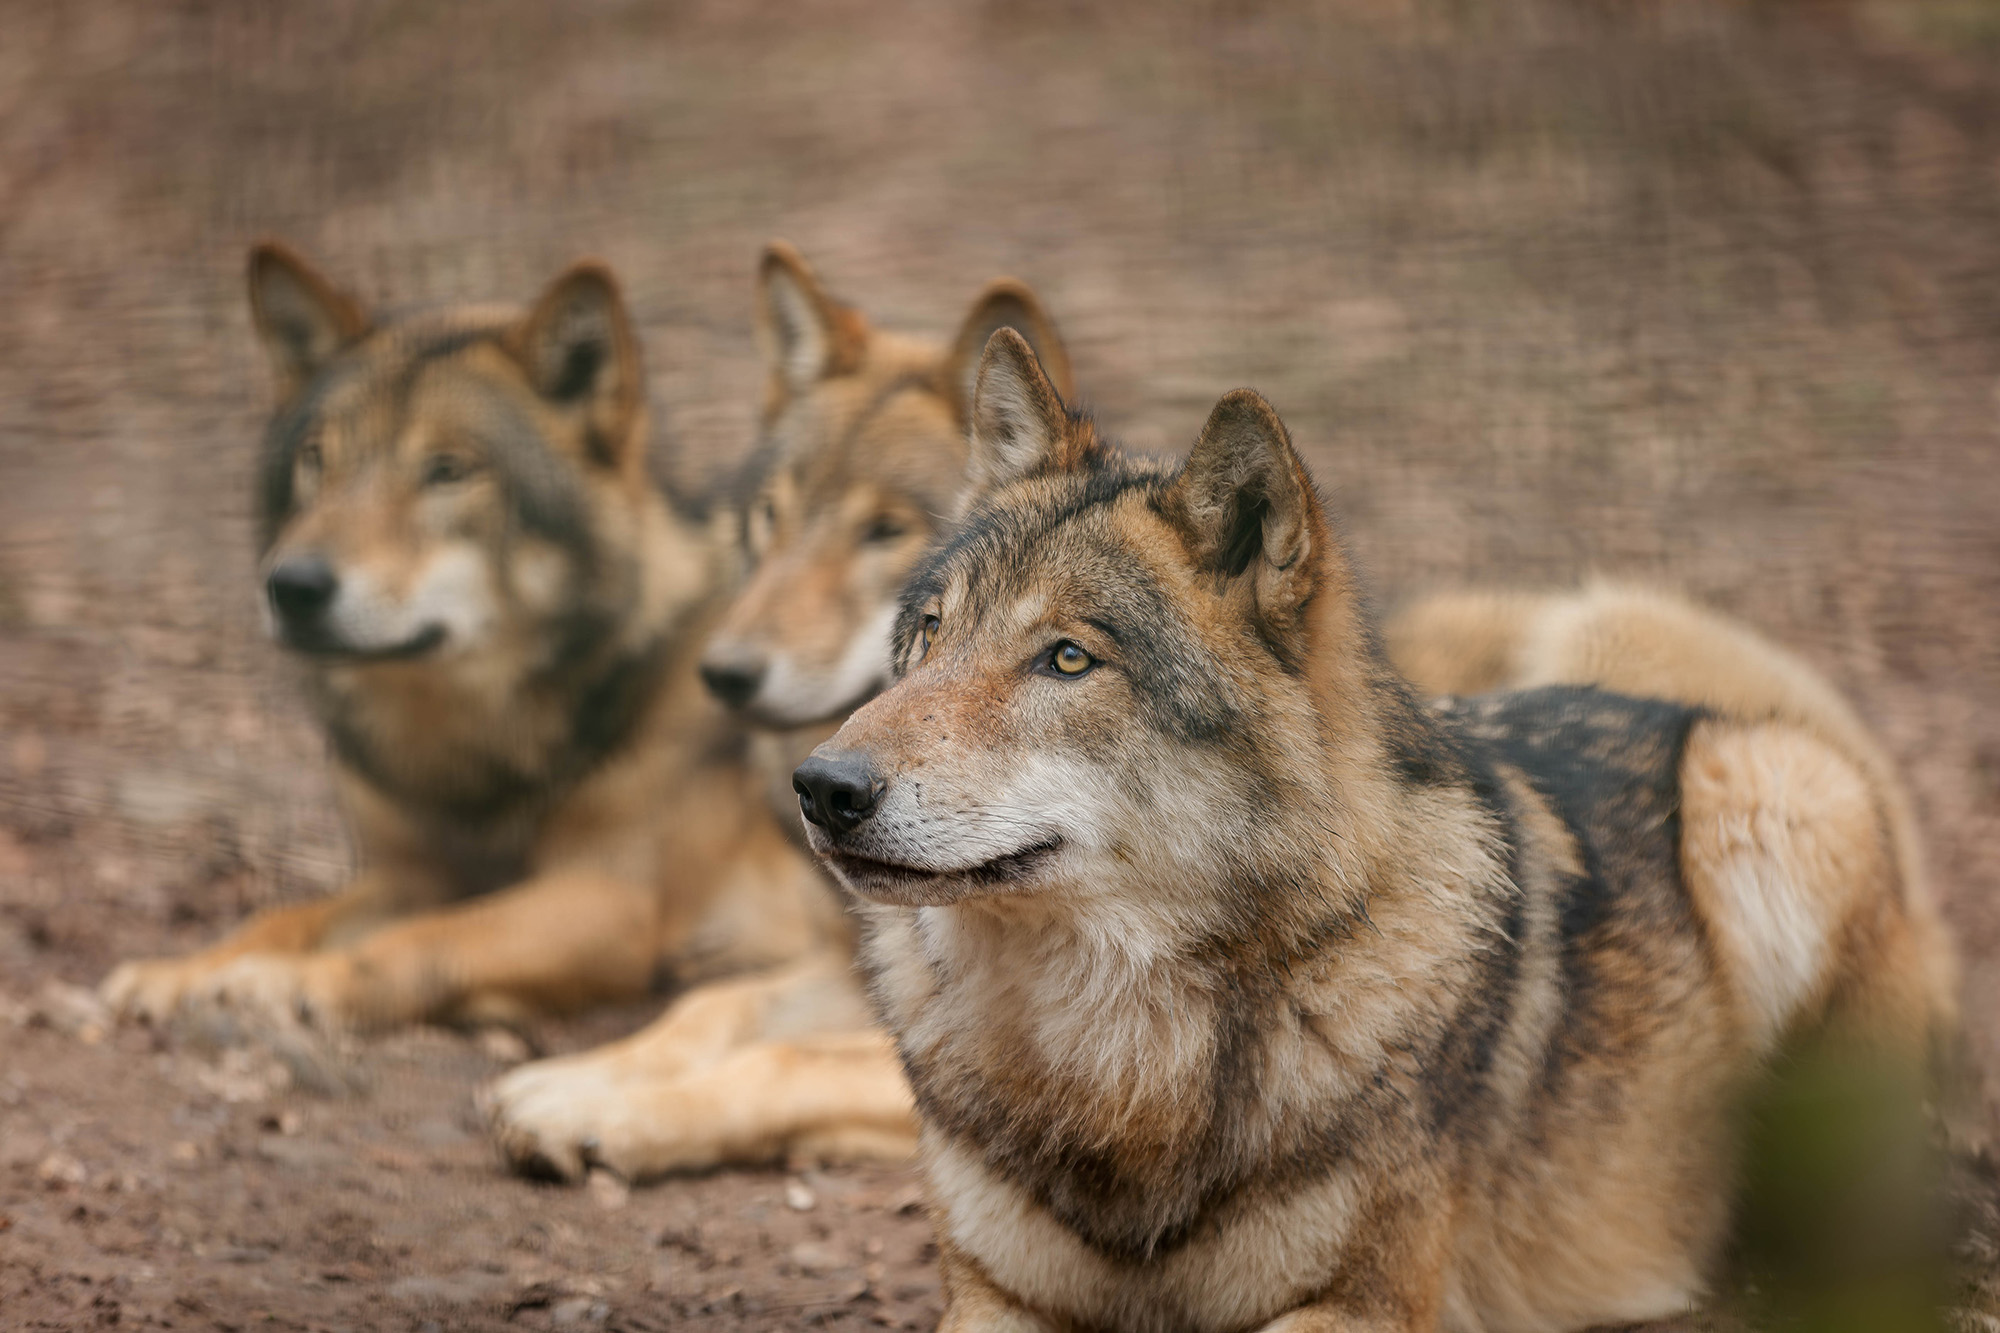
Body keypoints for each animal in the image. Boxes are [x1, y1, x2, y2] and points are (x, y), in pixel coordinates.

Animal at [101, 246, 840, 1040]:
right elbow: (285, 916)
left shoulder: (611, 899)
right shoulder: (410, 878)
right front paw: (182, 971)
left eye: (447, 471)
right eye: (317, 459)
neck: (469, 752)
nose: (293, 585)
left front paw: (286, 983)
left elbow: (427, 938)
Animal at [480, 241, 1080, 1176]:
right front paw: (573, 1077)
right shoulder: (861, 964)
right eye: (771, 513)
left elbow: (780, 1058)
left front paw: (596, 1112)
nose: (723, 672)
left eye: (884, 531)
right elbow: (711, 1008)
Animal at [792, 324, 1952, 1328]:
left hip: (1772, 790)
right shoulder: (993, 1296)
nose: (820, 785)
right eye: (928, 633)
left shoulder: (1361, 1303)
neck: (1117, 1061)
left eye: (1068, 658)